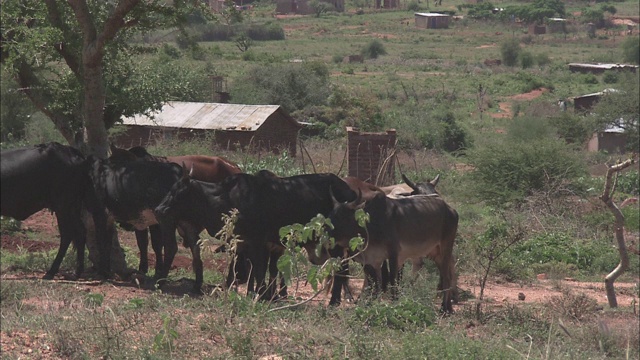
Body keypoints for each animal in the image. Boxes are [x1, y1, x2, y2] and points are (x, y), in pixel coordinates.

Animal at [0, 143, 108, 278]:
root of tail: (69, 150)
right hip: (73, 206)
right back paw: (77, 272)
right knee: (81, 231)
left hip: (63, 206)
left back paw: (51, 272)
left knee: (67, 234)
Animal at [153, 170, 358, 302]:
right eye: (171, 189)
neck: (227, 199)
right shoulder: (245, 243)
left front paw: (262, 294)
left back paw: (335, 301)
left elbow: (259, 270)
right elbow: (248, 269)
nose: (159, 210)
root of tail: (350, 189)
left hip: (336, 243)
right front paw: (252, 292)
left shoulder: (259, 243)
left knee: (342, 268)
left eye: (179, 192)